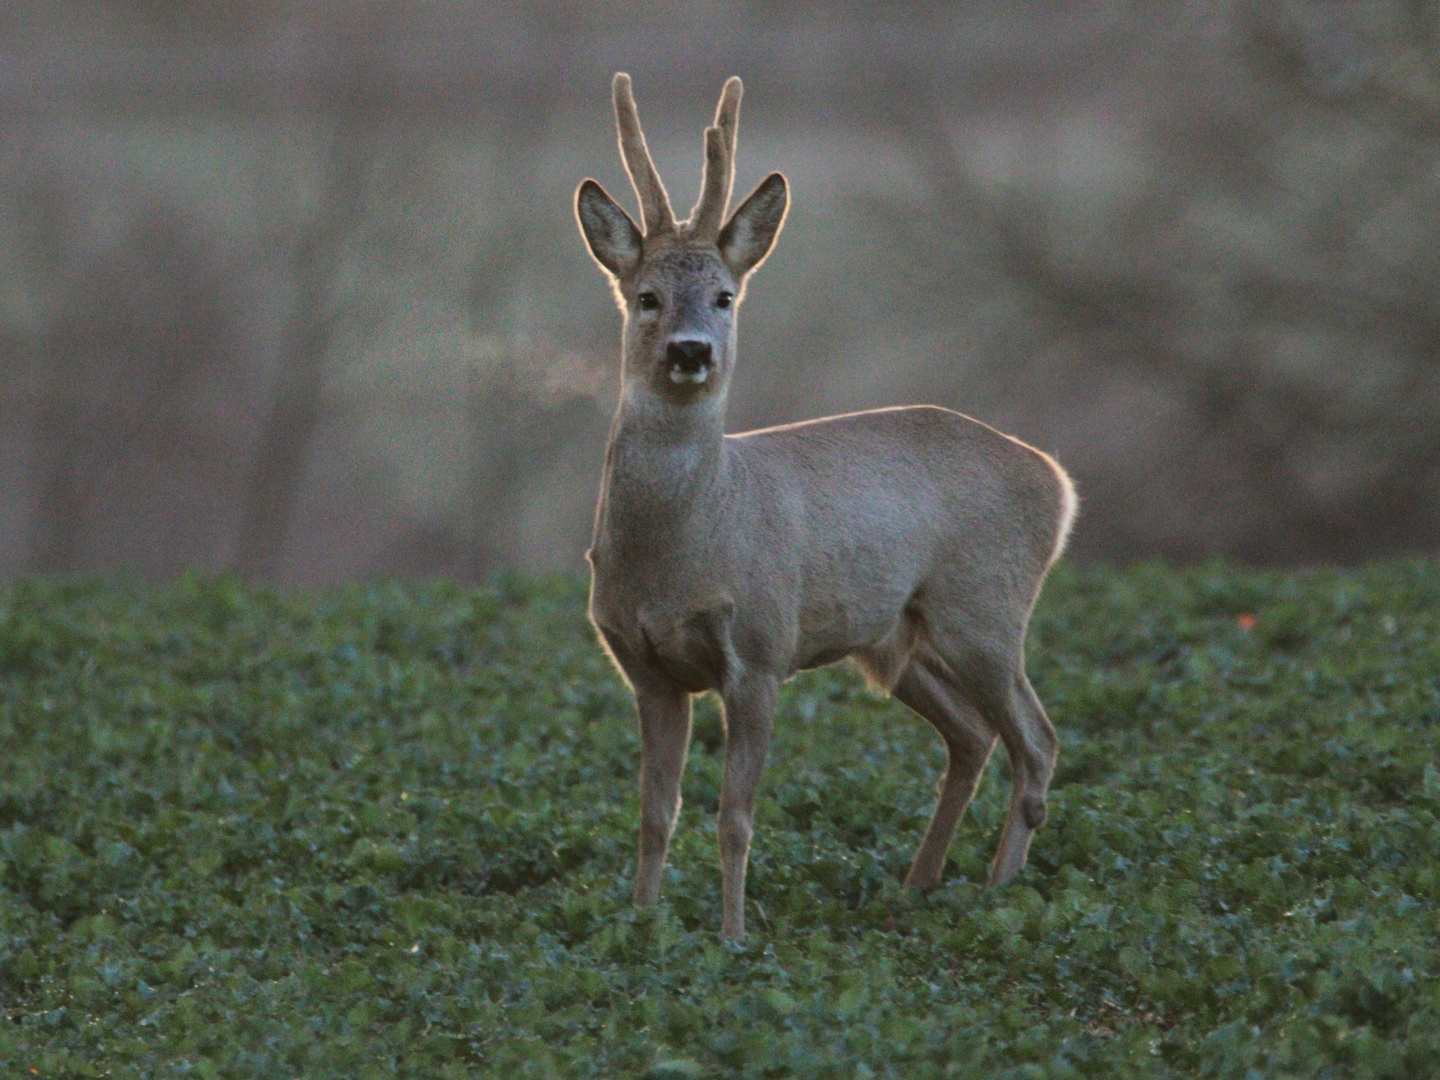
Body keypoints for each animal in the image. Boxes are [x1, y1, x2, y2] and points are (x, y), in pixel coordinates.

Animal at [578, 74, 1077, 938]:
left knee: (1037, 739)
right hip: (893, 638)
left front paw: (733, 937)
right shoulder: (645, 667)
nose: (690, 351)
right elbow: (653, 813)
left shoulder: (760, 647)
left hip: (984, 607)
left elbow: (735, 817)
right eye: (646, 296)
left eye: (724, 296)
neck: (685, 548)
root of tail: (1056, 480)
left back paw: (997, 891)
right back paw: (917, 884)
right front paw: (642, 926)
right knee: (974, 736)